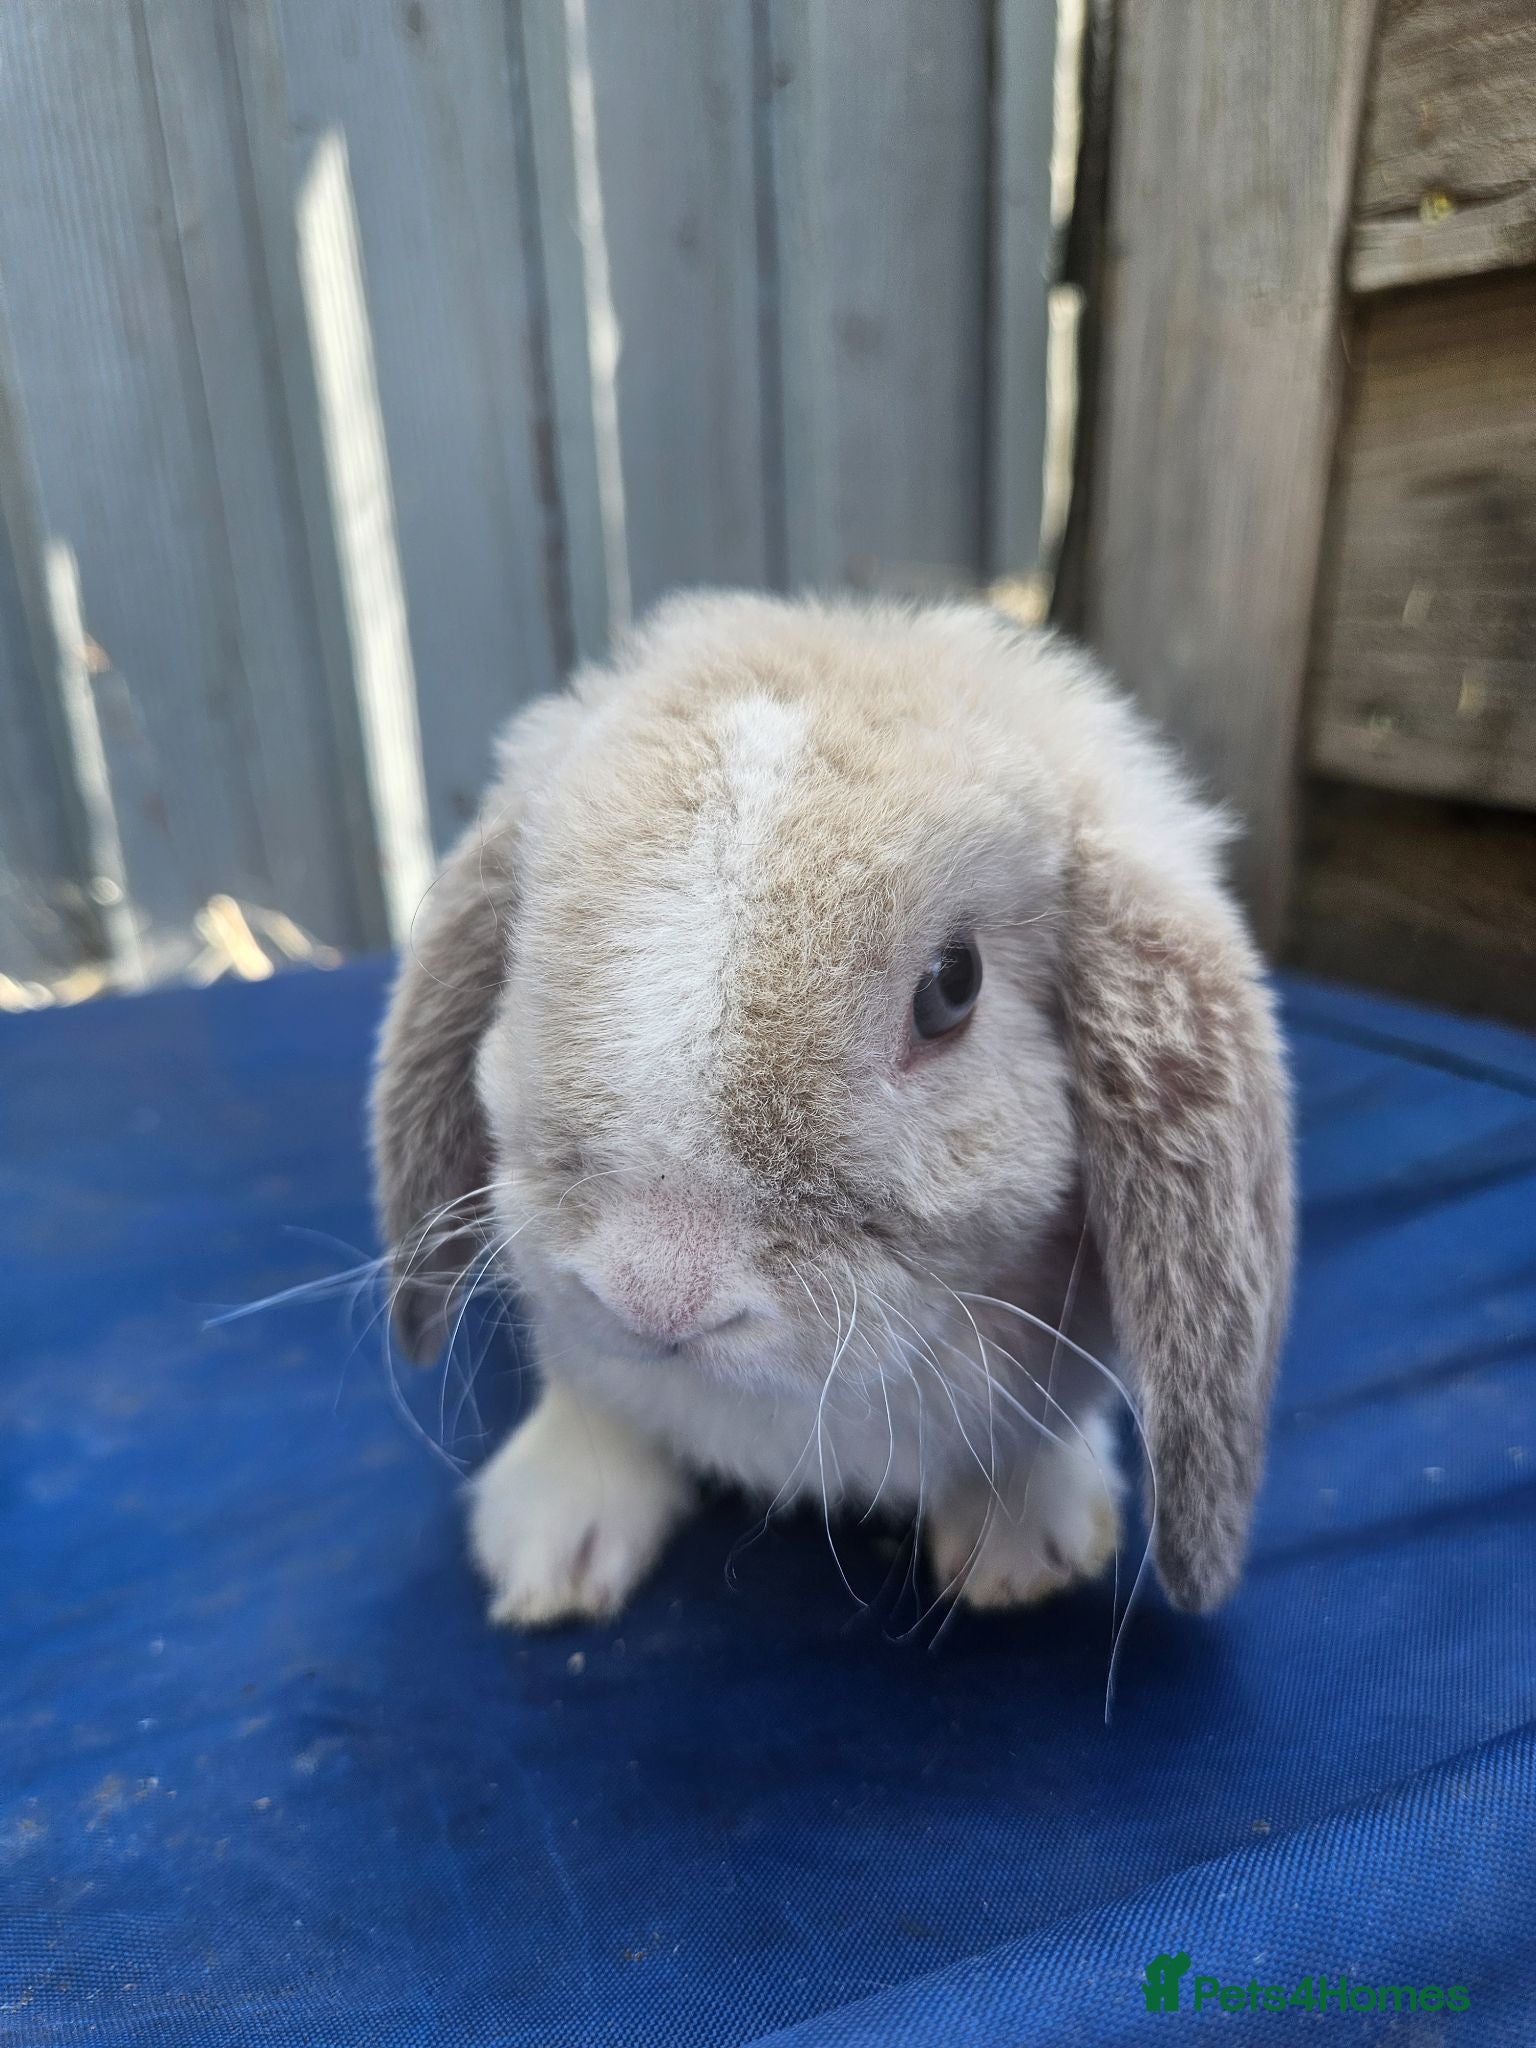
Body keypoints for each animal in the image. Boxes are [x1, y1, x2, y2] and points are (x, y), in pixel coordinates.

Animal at [371, 591, 1293, 1629]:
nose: (654, 1295)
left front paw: (1028, 1556)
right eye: (522, 934)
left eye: (953, 987)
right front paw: (551, 1545)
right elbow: (600, 1403)